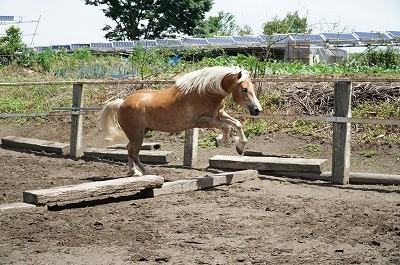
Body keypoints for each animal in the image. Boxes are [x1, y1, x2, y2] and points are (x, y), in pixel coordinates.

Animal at [98, 65, 262, 174]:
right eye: (244, 89)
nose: (257, 110)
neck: (205, 93)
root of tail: (121, 103)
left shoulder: (219, 114)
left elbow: (237, 124)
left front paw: (240, 147)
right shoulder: (203, 121)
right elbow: (226, 127)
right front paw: (220, 141)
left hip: (141, 132)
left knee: (128, 148)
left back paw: (134, 172)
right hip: (137, 134)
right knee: (133, 152)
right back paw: (147, 173)